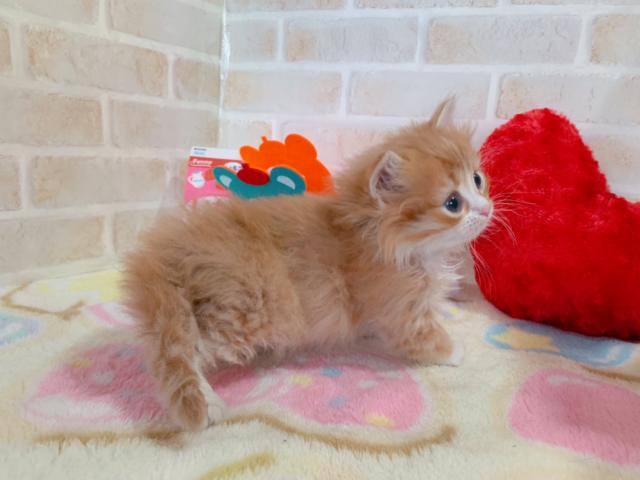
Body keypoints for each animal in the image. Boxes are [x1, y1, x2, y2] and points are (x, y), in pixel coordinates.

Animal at [122, 99, 493, 432]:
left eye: (477, 179)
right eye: (452, 203)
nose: (487, 209)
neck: (381, 237)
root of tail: (163, 255)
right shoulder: (402, 308)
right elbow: (425, 338)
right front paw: (454, 350)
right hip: (249, 309)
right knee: (184, 347)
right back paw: (208, 399)